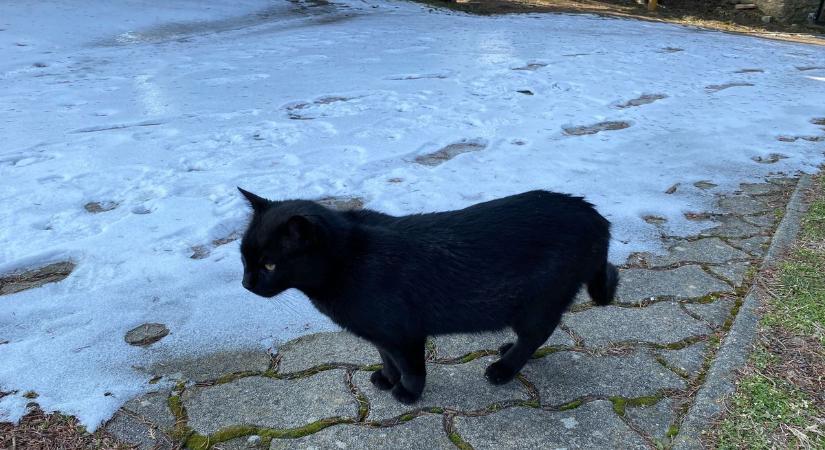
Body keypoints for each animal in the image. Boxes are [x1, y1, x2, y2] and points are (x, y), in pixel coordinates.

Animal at [235, 186, 616, 404]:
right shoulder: (381, 335)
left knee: (537, 333)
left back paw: (503, 368)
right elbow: (386, 357)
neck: (351, 258)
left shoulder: (405, 333)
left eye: (269, 264)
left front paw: (407, 392)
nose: (246, 283)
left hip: (538, 301)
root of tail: (596, 217)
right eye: (244, 257)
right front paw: (386, 379)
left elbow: (411, 366)